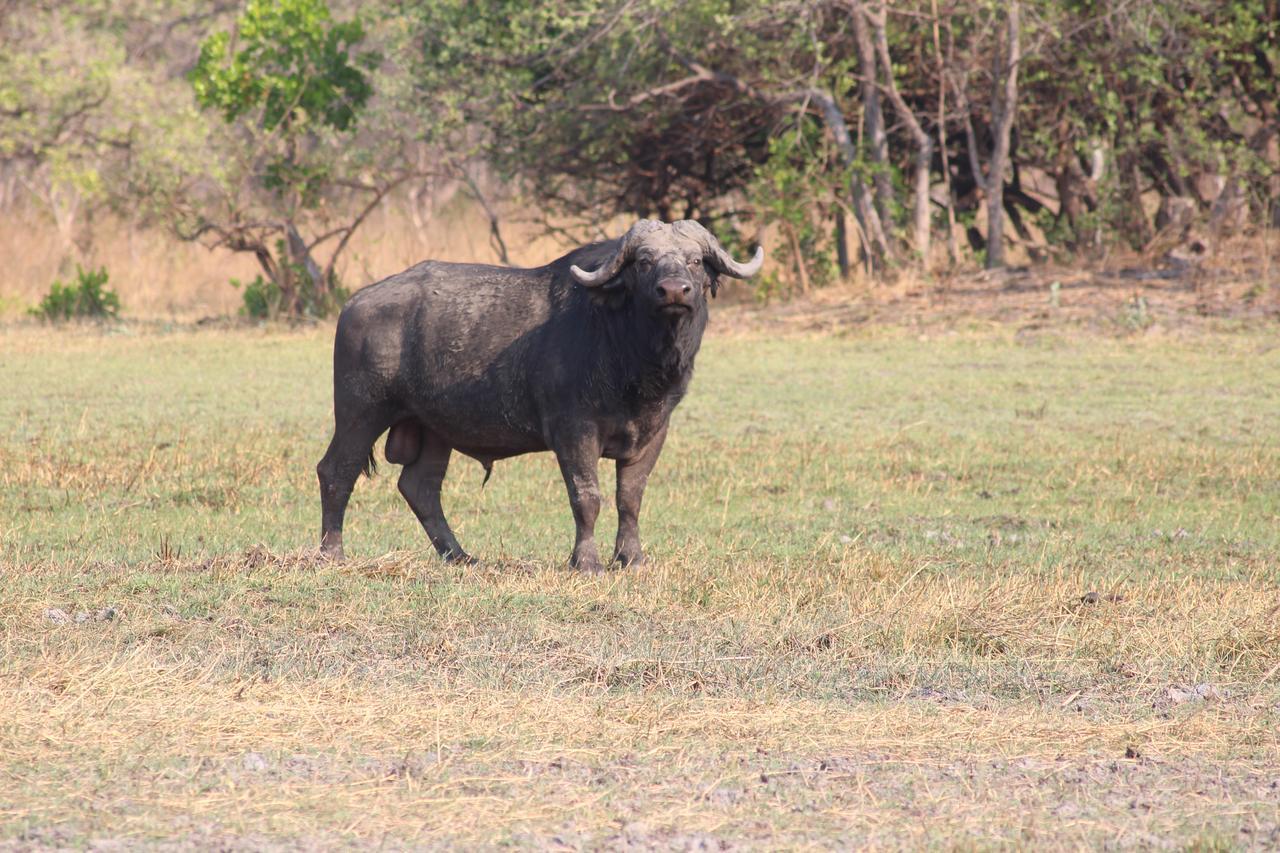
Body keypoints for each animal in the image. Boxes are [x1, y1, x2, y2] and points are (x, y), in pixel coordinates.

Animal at [316, 216, 762, 568]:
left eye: (695, 261)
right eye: (645, 261)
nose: (673, 290)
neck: (631, 356)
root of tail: (355, 303)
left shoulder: (654, 431)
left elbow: (630, 497)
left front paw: (631, 558)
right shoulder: (573, 430)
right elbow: (587, 496)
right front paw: (587, 561)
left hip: (432, 429)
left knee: (420, 486)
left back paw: (459, 555)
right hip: (361, 412)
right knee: (336, 471)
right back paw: (332, 553)